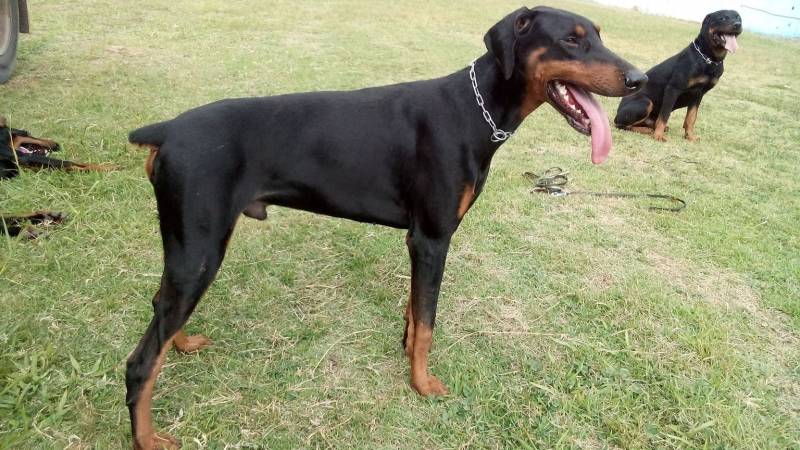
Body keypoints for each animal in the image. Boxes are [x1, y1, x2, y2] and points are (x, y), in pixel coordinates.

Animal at [128, 7, 648, 450]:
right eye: (571, 39)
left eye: (599, 34)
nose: (639, 79)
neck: (474, 110)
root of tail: (167, 130)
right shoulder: (433, 239)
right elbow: (429, 323)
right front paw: (423, 384)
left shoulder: (419, 240)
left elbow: (416, 313)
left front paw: (405, 350)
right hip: (201, 247)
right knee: (140, 363)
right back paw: (148, 438)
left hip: (190, 246)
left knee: (161, 308)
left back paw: (183, 343)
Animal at [612, 10, 744, 141]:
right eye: (723, 18)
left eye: (739, 18)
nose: (737, 25)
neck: (708, 58)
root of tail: (617, 114)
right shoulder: (673, 89)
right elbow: (664, 116)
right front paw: (658, 136)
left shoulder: (698, 94)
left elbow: (691, 117)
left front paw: (690, 136)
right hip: (646, 102)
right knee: (622, 125)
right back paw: (648, 130)